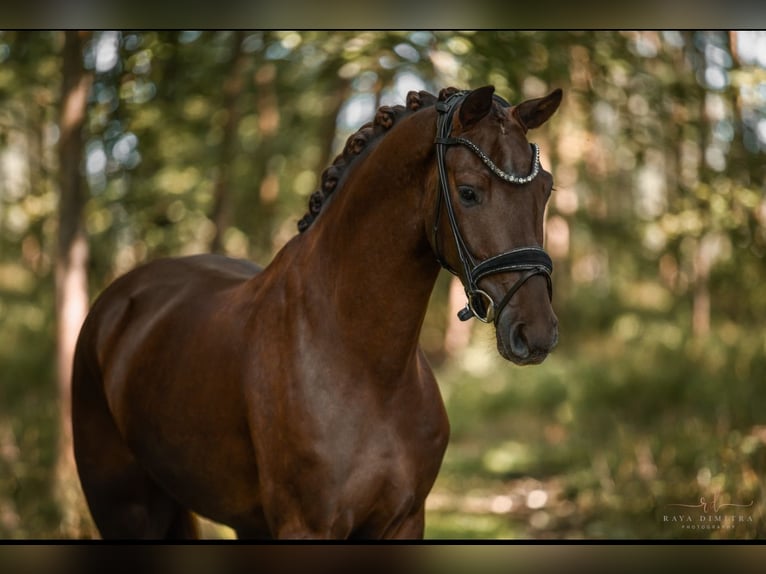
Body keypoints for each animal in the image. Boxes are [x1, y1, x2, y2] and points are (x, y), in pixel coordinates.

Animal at [72, 84, 564, 540]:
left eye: (545, 189)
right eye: (468, 192)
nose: (537, 332)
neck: (366, 369)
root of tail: (118, 299)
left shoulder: (403, 522)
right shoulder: (306, 527)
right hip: (124, 509)